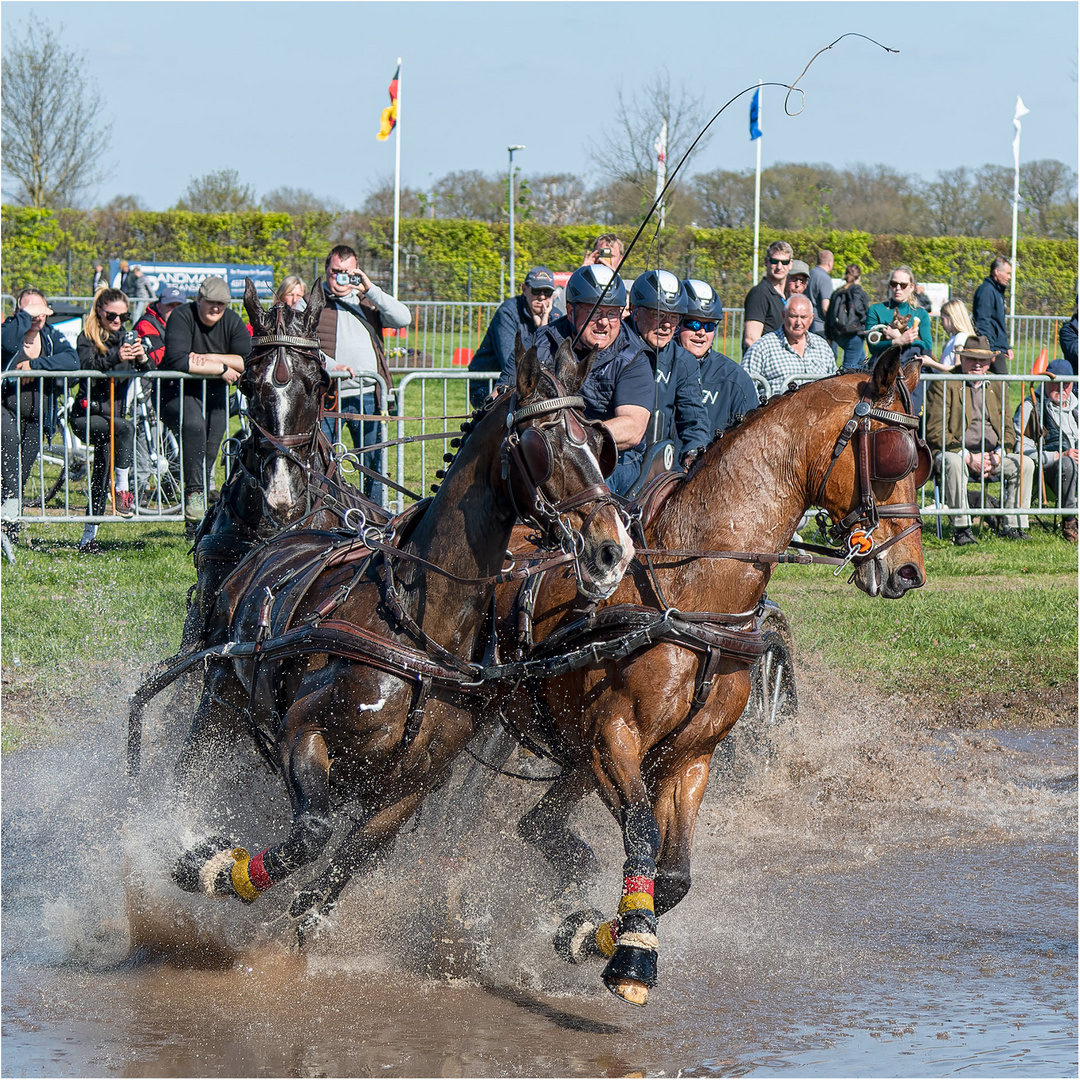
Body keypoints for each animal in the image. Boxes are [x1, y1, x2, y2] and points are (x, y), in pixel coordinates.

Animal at [167, 339, 630, 937]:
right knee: (188, 773)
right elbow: (310, 834)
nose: (613, 550)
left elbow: (324, 888)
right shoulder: (303, 732)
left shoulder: (403, 795)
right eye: (541, 445)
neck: (420, 631)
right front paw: (215, 869)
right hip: (221, 697)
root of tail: (282, 536)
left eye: (600, 444)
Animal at [490, 345, 928, 1002]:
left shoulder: (687, 755)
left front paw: (593, 933)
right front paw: (629, 957)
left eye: (919, 464)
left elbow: (673, 875)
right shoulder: (612, 739)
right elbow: (642, 835)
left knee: (537, 826)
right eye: (892, 456)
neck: (688, 588)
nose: (908, 571)